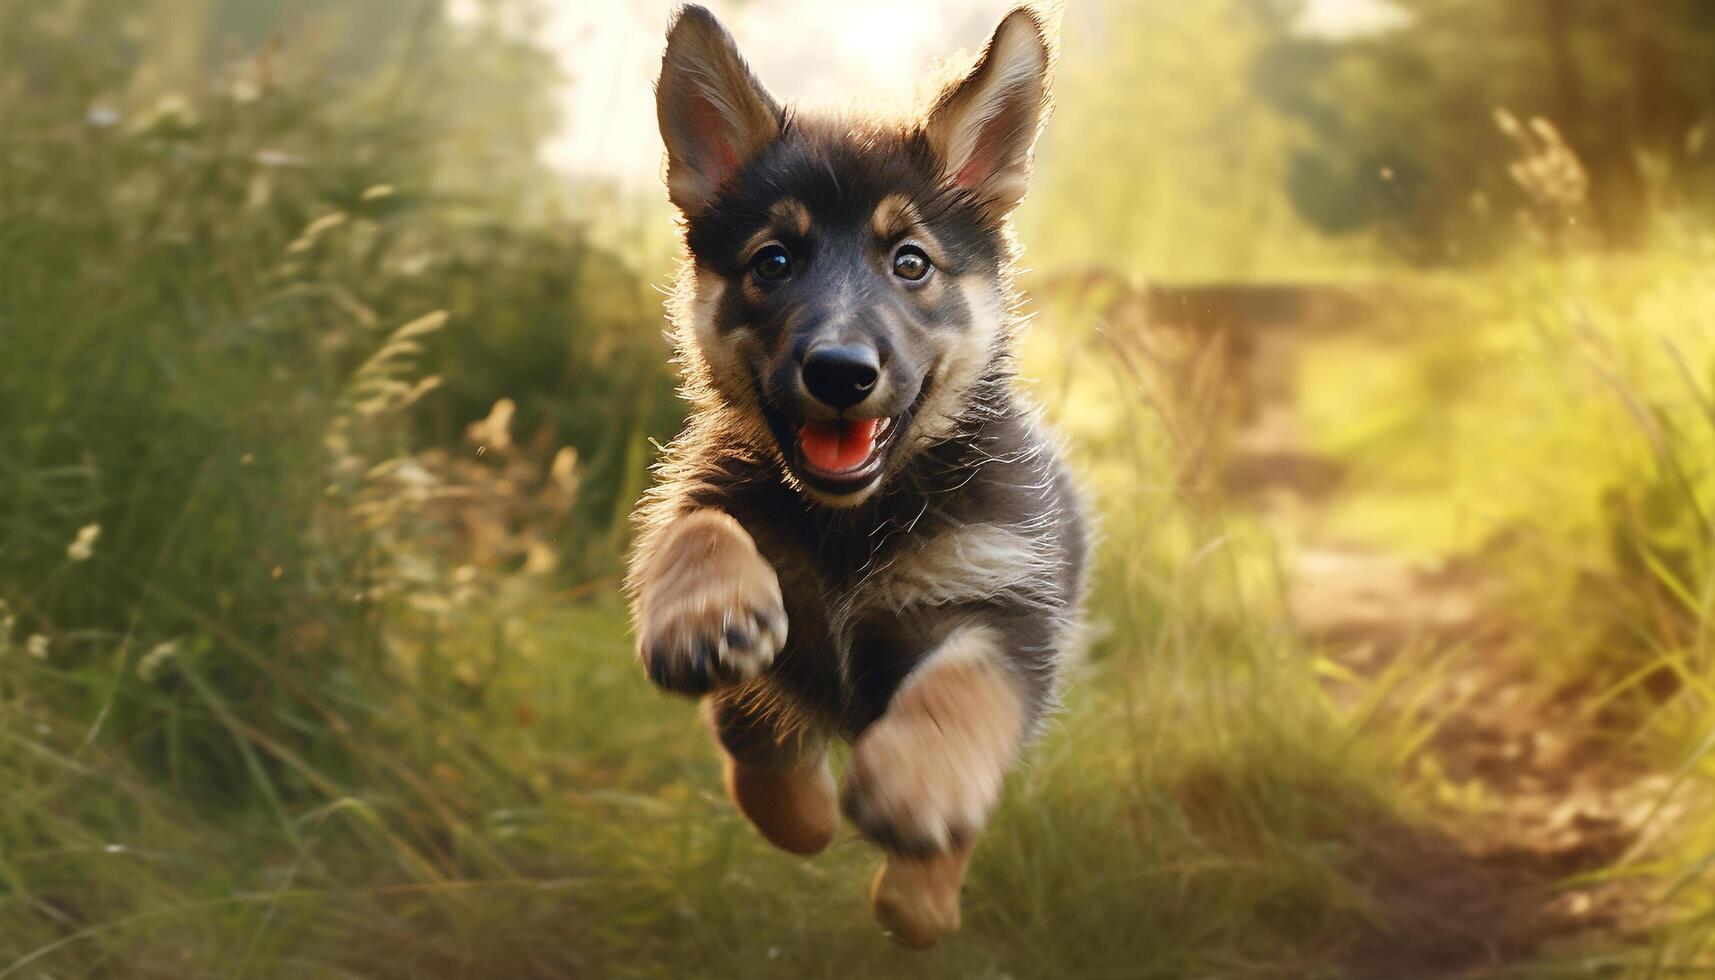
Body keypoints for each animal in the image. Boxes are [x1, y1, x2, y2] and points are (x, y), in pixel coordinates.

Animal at [627, 1, 1083, 954]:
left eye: (910, 261)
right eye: (772, 261)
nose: (840, 372)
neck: (852, 521)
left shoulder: (1009, 605)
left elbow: (965, 689)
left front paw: (918, 782)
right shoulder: (702, 498)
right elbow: (706, 541)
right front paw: (707, 618)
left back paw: (924, 888)